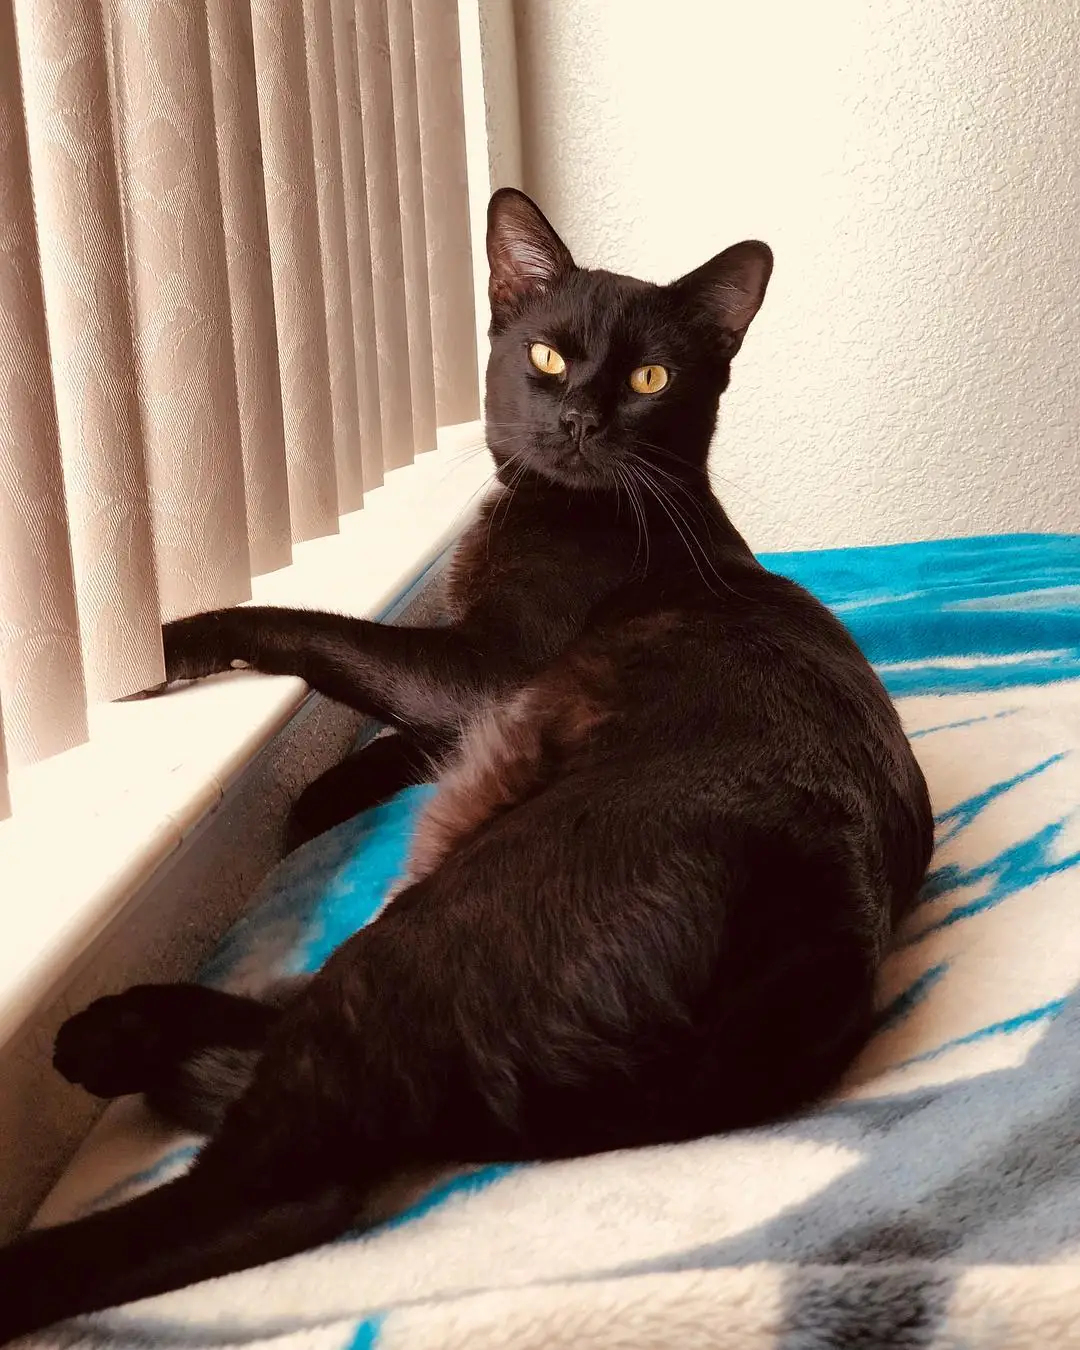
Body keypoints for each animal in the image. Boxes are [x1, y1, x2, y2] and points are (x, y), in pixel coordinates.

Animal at [0, 188, 933, 1341]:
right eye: (545, 355)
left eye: (651, 379)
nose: (580, 418)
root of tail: (808, 967)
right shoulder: (478, 706)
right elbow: (400, 741)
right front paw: (318, 799)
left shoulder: (487, 671)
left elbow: (324, 637)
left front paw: (173, 645)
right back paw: (117, 1035)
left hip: (446, 926)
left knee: (287, 1174)